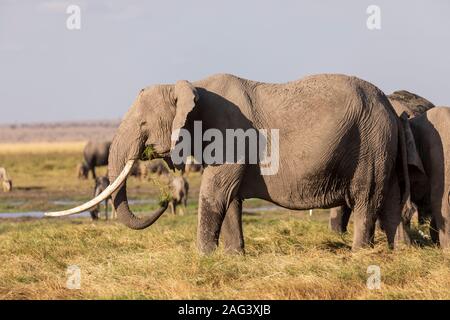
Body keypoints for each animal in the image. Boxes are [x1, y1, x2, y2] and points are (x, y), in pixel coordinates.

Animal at [47, 74, 414, 254]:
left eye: (142, 125)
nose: (164, 202)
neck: (188, 85)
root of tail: (392, 109)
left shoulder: (230, 135)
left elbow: (216, 192)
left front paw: (202, 257)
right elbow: (230, 198)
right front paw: (233, 256)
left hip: (370, 141)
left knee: (367, 197)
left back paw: (360, 255)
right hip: (382, 144)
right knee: (390, 199)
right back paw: (399, 252)